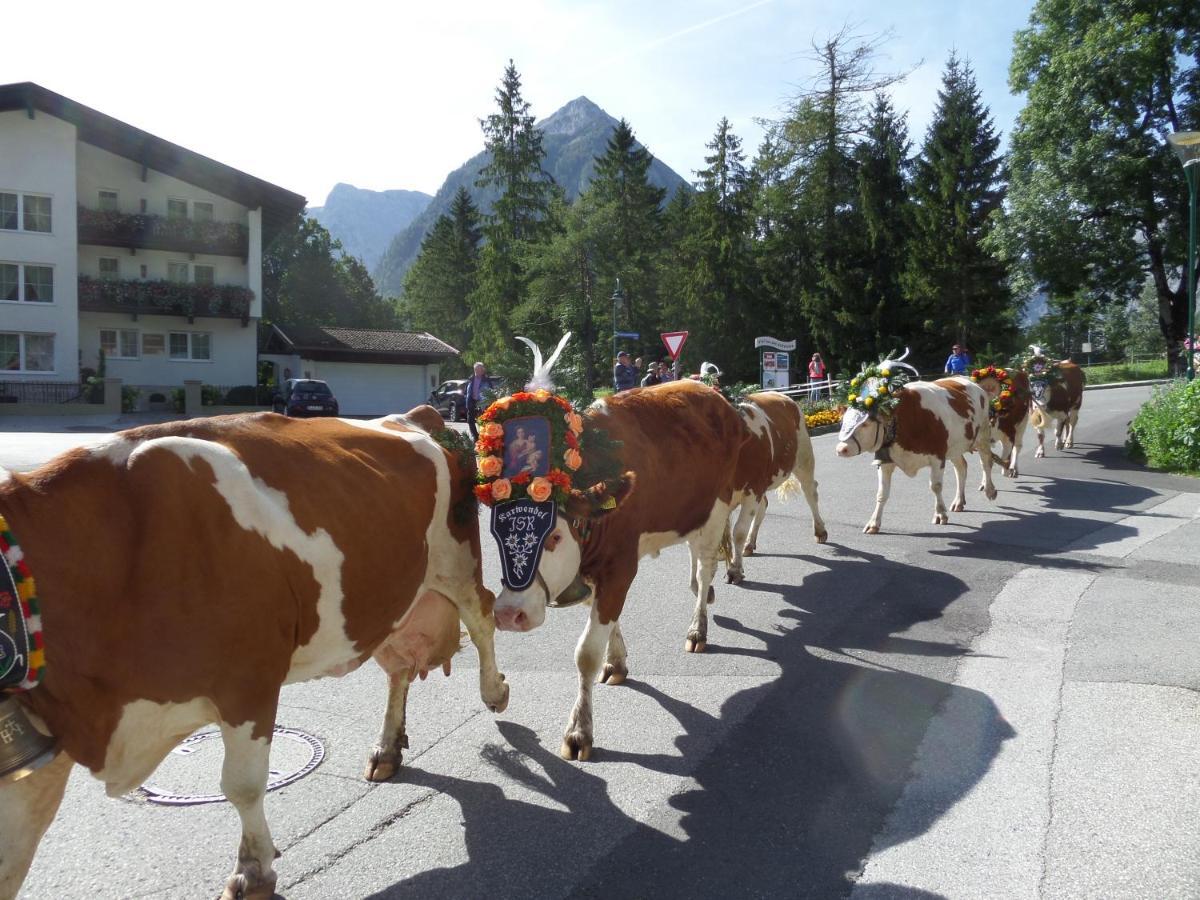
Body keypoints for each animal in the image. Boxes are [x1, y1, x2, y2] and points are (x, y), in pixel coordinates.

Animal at [0, 412, 506, 900]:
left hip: (455, 562)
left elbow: (240, 785)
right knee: (399, 667)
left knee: (482, 615)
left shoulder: (249, 681)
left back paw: (494, 691)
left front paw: (253, 871)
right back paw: (387, 747)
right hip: (388, 599)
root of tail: (417, 418)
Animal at [492, 376, 744, 763]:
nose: (508, 614)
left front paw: (579, 731)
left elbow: (586, 654)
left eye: (555, 537)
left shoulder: (620, 567)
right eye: (496, 534)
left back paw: (698, 629)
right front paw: (617, 662)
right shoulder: (595, 571)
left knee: (705, 571)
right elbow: (607, 625)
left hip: (716, 508)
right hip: (691, 511)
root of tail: (708, 390)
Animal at [720, 393, 825, 588]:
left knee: (810, 491)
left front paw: (734, 571)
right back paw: (750, 544)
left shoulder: (752, 489)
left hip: (803, 457)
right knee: (764, 506)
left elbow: (738, 532)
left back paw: (820, 531)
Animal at [835, 374, 993, 532]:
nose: (841, 449)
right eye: (842, 421)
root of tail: (968, 379)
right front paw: (873, 523)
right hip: (955, 447)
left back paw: (989, 490)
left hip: (983, 435)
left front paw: (940, 514)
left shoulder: (938, 456)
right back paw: (959, 501)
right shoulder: (885, 462)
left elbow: (935, 486)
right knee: (961, 468)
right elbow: (882, 493)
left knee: (986, 462)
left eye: (865, 424)